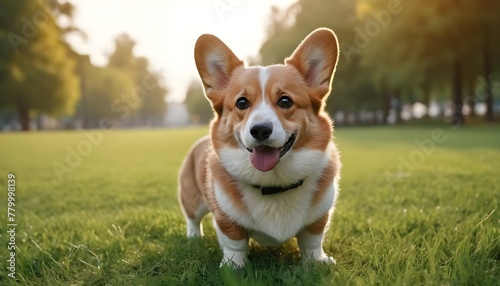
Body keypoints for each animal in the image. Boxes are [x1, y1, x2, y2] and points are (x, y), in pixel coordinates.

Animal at [178, 27, 342, 268]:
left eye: (285, 101)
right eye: (242, 103)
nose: (261, 130)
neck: (274, 184)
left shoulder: (319, 216)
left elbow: (313, 240)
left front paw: (316, 261)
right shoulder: (226, 217)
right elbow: (234, 242)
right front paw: (234, 266)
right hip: (192, 198)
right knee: (192, 218)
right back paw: (193, 237)